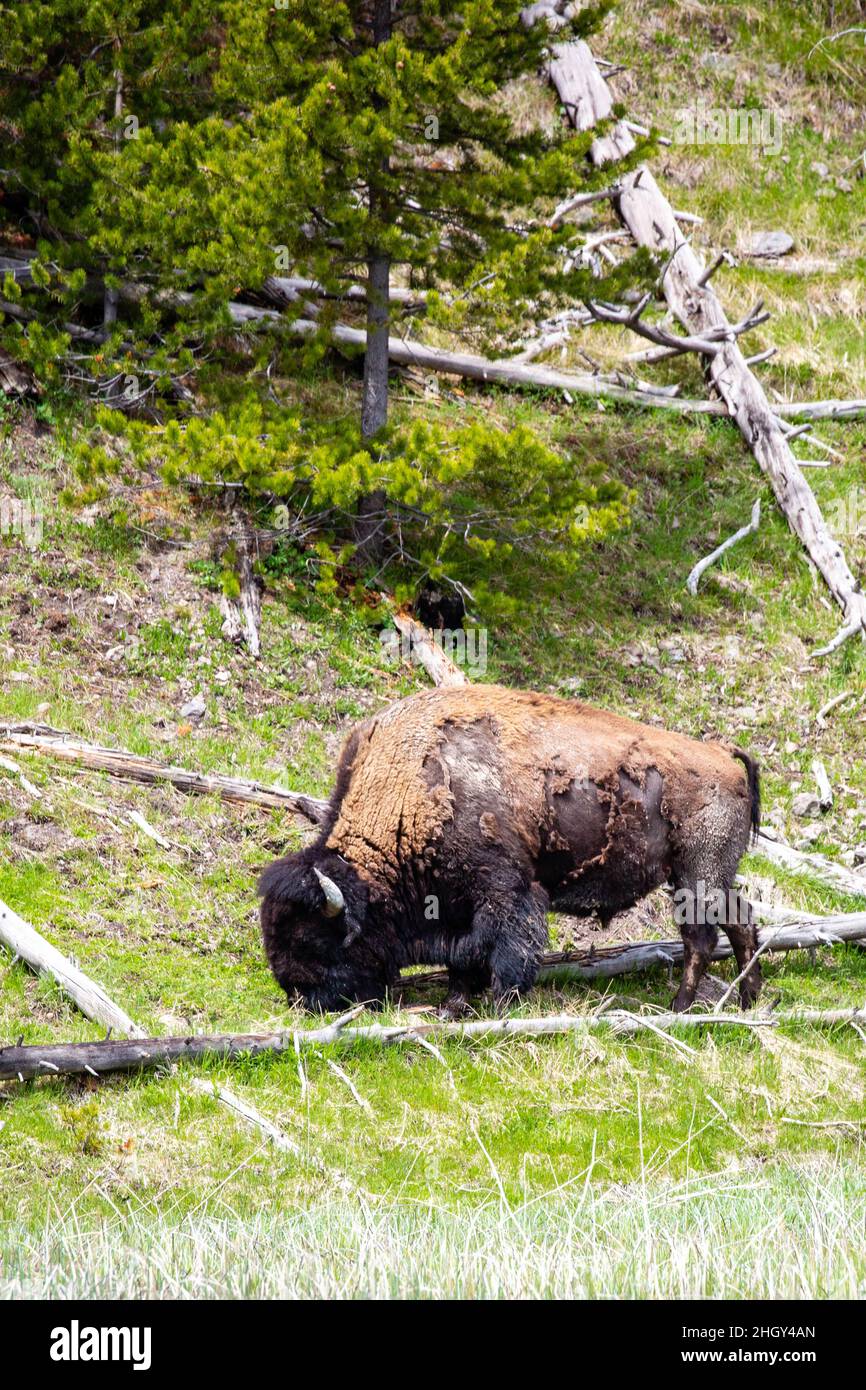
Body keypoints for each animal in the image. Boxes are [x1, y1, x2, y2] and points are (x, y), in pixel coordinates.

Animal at [259, 685, 761, 1014]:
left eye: (312, 941)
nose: (299, 998)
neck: (407, 790)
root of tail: (722, 755)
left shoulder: (504, 891)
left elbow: (506, 948)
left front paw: (500, 1005)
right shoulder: (456, 904)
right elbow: (463, 957)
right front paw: (454, 1004)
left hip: (696, 873)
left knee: (701, 938)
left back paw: (680, 1006)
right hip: (710, 876)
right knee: (741, 922)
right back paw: (749, 999)